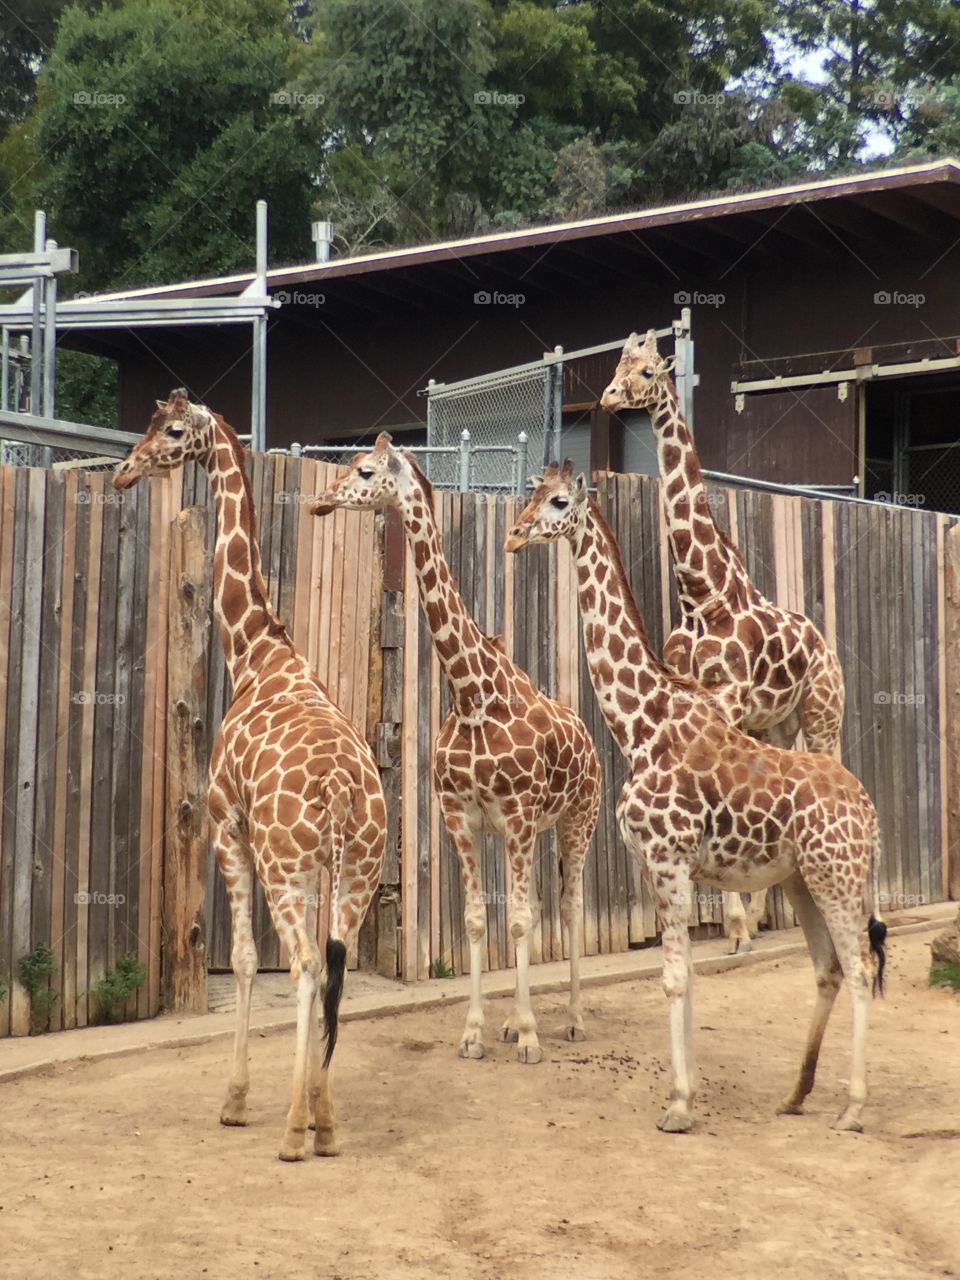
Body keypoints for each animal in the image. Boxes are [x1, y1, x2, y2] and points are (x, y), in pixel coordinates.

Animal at [118, 389, 389, 1162]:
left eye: (173, 431)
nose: (123, 471)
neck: (257, 651)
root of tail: (339, 792)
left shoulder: (225, 827)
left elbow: (239, 959)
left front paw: (235, 1101)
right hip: (358, 871)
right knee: (330, 966)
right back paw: (325, 1123)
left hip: (283, 864)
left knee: (301, 965)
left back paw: (294, 1130)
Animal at [312, 435, 601, 1064]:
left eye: (365, 471)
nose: (320, 501)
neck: (472, 694)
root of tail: (591, 741)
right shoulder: (462, 820)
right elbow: (476, 920)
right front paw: (477, 1033)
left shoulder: (517, 816)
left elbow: (518, 921)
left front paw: (531, 1038)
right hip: (534, 832)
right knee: (536, 905)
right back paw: (515, 1022)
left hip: (577, 819)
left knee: (570, 904)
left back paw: (571, 1020)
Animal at [506, 465, 890, 1136]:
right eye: (529, 496)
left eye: (555, 502)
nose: (515, 535)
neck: (639, 724)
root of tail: (868, 814)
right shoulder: (662, 867)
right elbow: (683, 977)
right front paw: (686, 1092)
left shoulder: (668, 859)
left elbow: (672, 981)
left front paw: (680, 1105)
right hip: (803, 880)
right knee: (829, 968)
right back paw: (795, 1094)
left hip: (837, 876)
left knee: (863, 966)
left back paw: (851, 1108)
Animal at [604, 330, 844, 952]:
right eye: (617, 364)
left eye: (646, 371)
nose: (610, 398)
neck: (701, 592)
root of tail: (826, 644)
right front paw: (739, 923)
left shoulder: (728, 699)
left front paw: (734, 926)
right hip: (776, 724)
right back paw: (763, 914)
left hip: (823, 713)